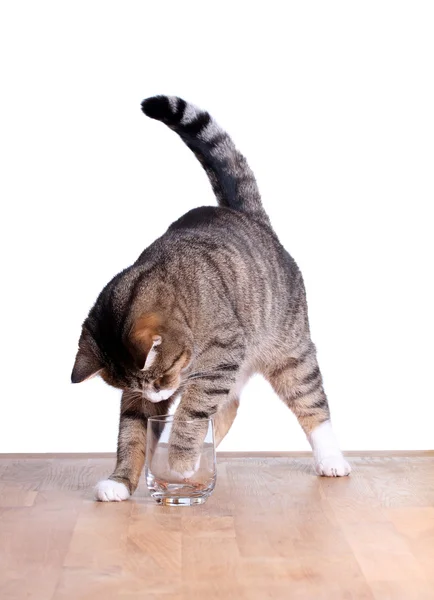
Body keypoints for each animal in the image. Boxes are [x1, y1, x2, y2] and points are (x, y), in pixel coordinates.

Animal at [70, 95, 350, 502]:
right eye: (142, 387)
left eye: (162, 376)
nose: (159, 395)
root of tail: (249, 217)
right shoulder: (143, 396)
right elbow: (132, 431)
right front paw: (121, 480)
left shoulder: (221, 355)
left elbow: (192, 411)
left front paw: (180, 460)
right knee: (227, 409)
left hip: (291, 352)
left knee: (310, 402)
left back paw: (330, 458)